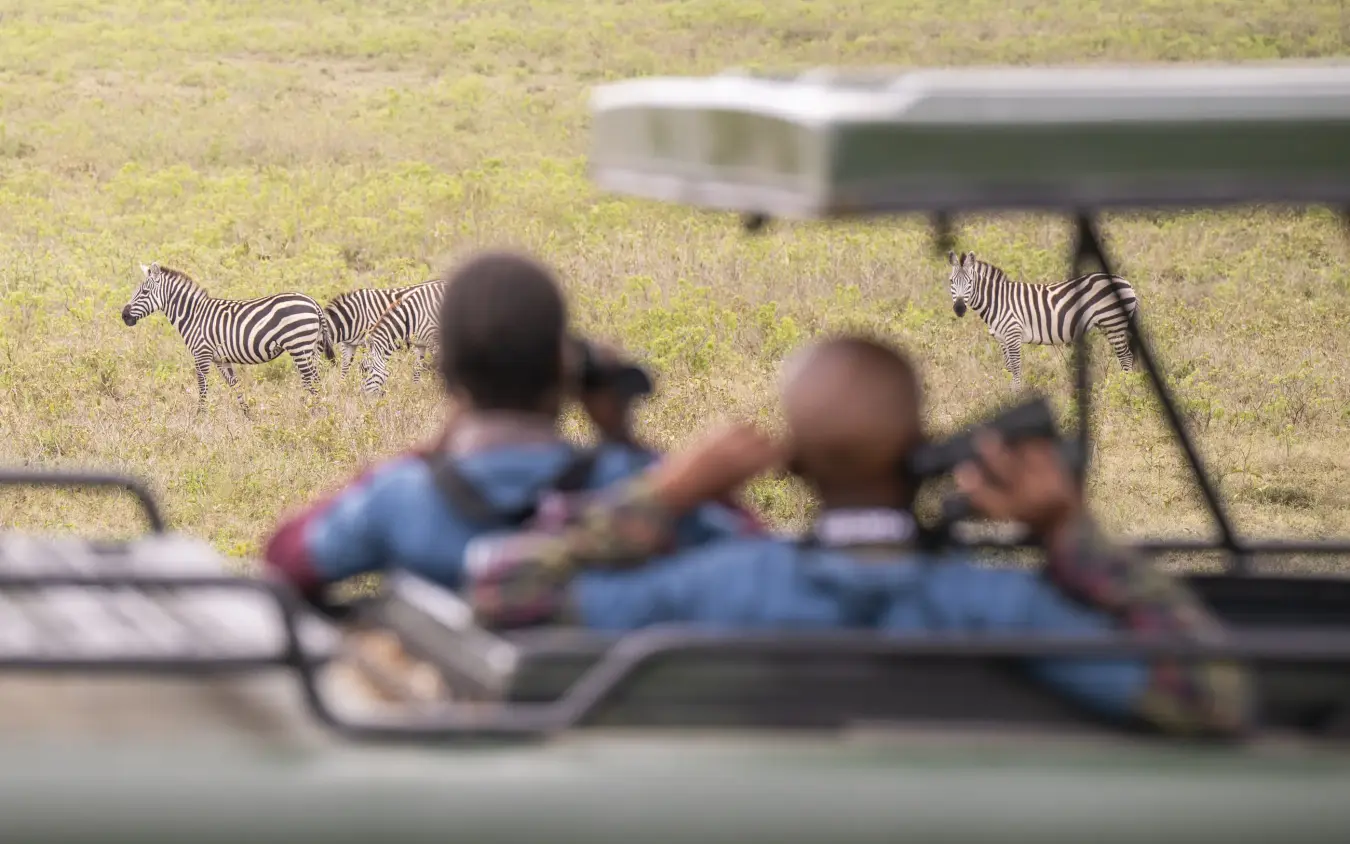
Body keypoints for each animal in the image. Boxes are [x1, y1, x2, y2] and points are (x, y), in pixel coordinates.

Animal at [121, 262, 336, 408]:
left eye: (144, 292)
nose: (124, 316)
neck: (193, 315)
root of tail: (312, 302)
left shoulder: (202, 354)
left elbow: (202, 387)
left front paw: (200, 418)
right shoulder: (221, 359)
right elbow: (235, 386)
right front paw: (248, 416)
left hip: (299, 346)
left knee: (311, 382)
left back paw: (315, 413)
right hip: (312, 348)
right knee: (317, 380)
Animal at [946, 251, 1141, 390]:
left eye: (970, 281)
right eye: (951, 281)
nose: (959, 308)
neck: (997, 301)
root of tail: (1127, 282)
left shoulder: (1013, 334)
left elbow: (1016, 368)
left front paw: (1016, 395)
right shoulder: (1002, 339)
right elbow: (1008, 368)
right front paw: (1008, 395)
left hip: (1113, 323)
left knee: (1126, 357)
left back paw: (1126, 390)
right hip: (1111, 324)